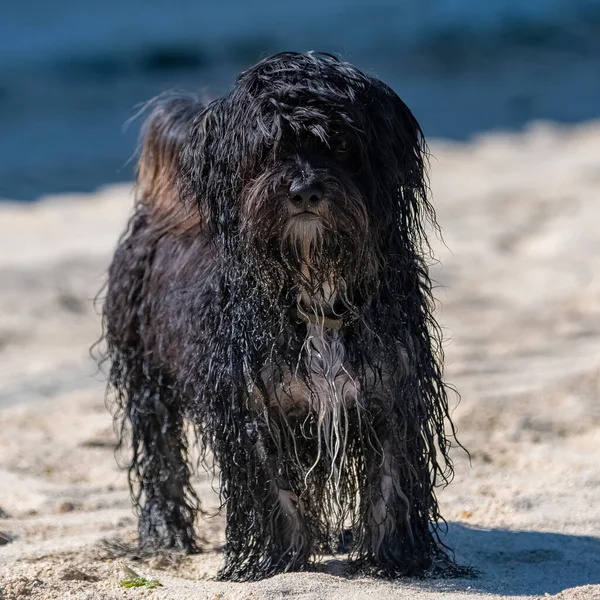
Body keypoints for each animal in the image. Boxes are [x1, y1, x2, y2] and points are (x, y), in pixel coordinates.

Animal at [103, 51, 466, 580]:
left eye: (341, 144)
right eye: (267, 149)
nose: (305, 191)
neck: (314, 286)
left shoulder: (391, 391)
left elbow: (389, 483)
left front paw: (392, 558)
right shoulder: (254, 405)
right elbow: (275, 492)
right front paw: (280, 561)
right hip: (146, 374)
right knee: (160, 452)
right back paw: (166, 534)